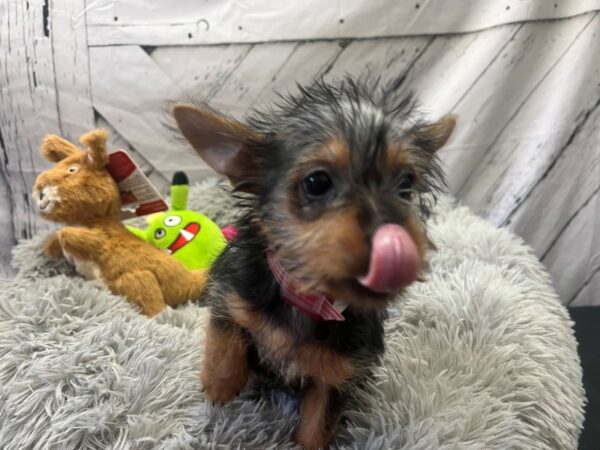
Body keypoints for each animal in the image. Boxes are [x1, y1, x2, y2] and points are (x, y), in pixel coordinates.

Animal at [173, 75, 454, 448]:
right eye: (317, 182)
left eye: (406, 183)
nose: (396, 243)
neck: (307, 299)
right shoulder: (232, 294)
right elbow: (226, 337)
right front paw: (219, 390)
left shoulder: (337, 375)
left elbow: (316, 428)